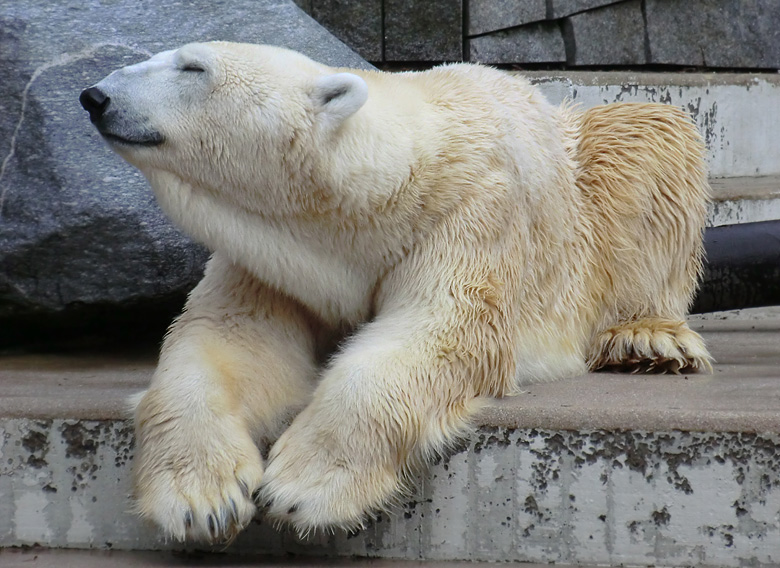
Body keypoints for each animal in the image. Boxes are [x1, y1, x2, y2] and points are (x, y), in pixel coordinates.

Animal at [80, 41, 712, 540]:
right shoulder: (275, 261)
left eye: (193, 67)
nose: (95, 96)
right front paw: (199, 500)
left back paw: (647, 341)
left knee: (651, 138)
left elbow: (441, 330)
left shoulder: (473, 215)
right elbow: (228, 341)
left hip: (591, 189)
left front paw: (304, 489)